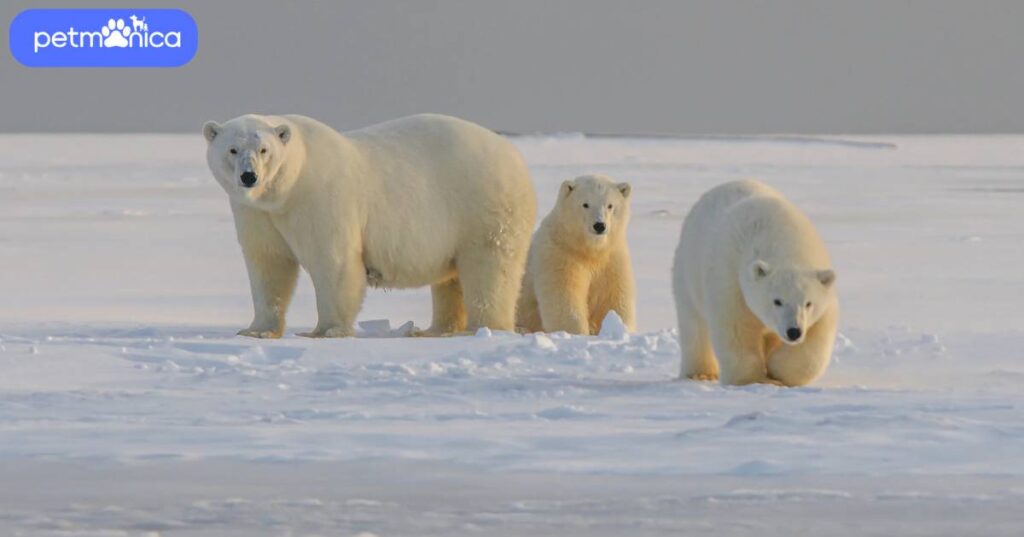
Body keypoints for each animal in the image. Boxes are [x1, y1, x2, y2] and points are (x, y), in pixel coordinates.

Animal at [200, 112, 536, 338]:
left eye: (264, 150)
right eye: (232, 149)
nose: (249, 176)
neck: (288, 188)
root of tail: (514, 156)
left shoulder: (321, 198)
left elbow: (333, 262)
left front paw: (326, 330)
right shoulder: (256, 213)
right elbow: (268, 264)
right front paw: (257, 330)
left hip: (482, 206)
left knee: (489, 269)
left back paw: (483, 327)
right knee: (450, 279)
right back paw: (435, 329)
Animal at [520, 174, 630, 334]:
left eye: (610, 205)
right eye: (585, 204)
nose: (599, 225)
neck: (589, 249)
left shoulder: (612, 258)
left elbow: (613, 298)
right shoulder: (560, 254)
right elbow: (565, 297)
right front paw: (578, 332)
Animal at [671, 180, 839, 385]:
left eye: (808, 303)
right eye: (777, 301)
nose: (794, 332)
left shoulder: (823, 295)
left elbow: (817, 337)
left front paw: (776, 370)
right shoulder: (731, 279)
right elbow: (736, 328)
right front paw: (752, 379)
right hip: (688, 270)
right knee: (693, 323)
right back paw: (700, 373)